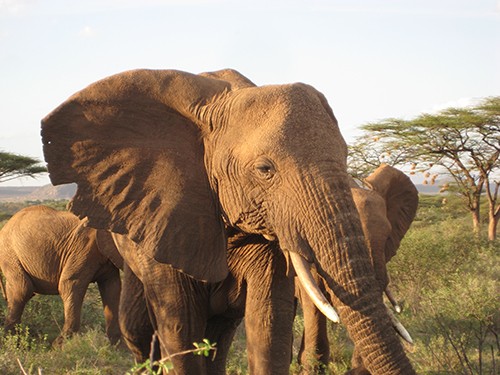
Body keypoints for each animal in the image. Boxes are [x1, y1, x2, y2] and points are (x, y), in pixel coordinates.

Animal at [0, 206, 122, 346]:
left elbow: (113, 288)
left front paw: (117, 347)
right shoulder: (84, 249)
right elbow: (70, 284)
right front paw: (58, 347)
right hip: (9, 254)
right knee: (22, 290)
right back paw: (11, 341)